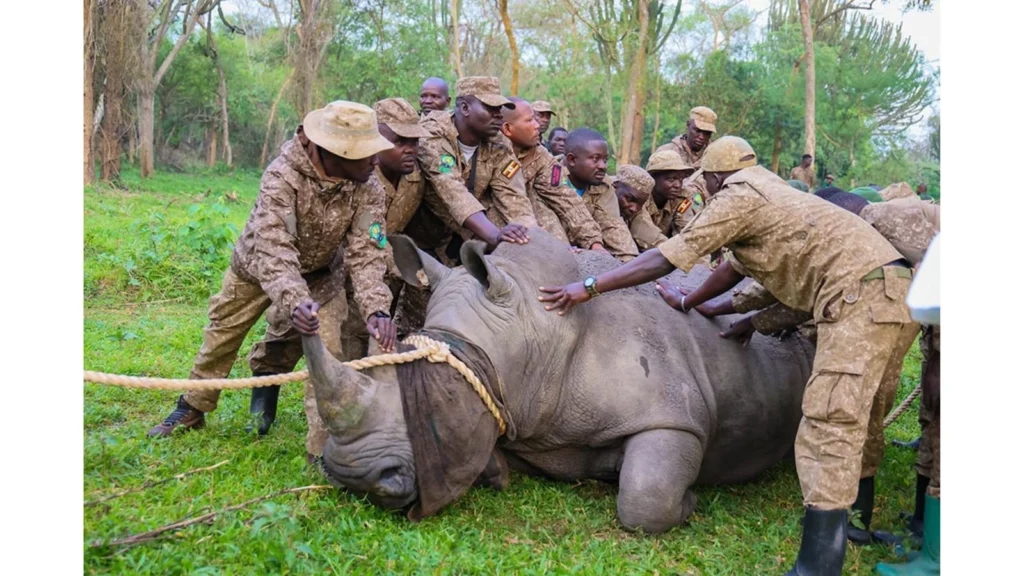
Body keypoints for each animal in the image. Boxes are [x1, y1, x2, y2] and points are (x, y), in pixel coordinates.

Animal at [301, 228, 814, 533]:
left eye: (438, 393)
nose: (354, 478)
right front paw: (497, 470)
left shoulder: (674, 417)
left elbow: (643, 500)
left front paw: (688, 504)